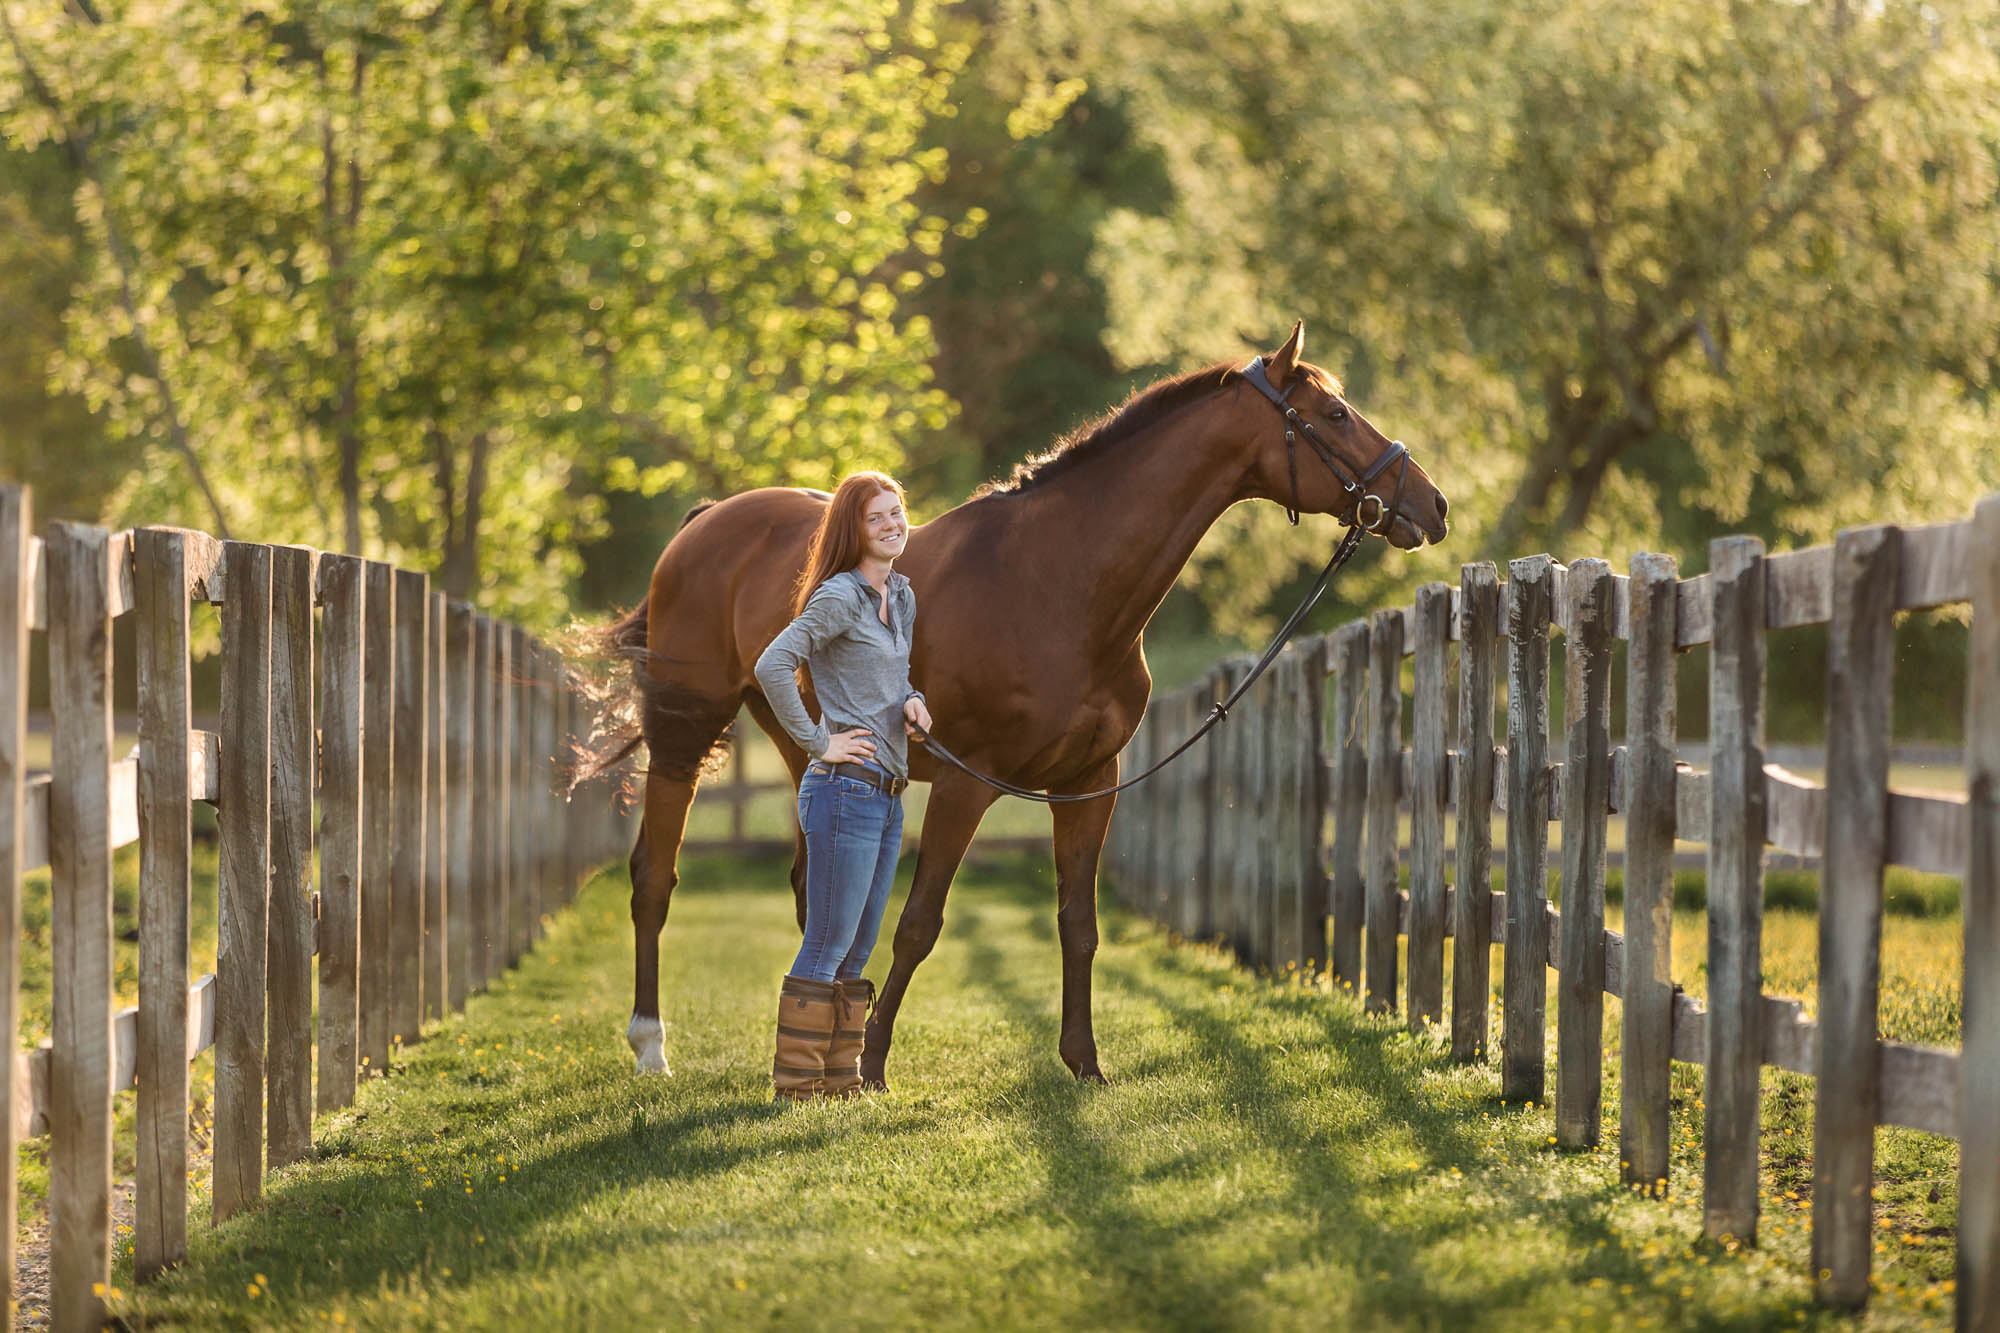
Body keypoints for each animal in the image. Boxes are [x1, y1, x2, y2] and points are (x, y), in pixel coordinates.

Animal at [595, 323, 1449, 1087]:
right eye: (1333, 413)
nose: (1433, 504)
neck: (1058, 583)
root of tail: (707, 520)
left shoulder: (1089, 785)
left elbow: (1078, 924)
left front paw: (1085, 1062)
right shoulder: (967, 780)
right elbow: (918, 922)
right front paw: (872, 1064)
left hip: (801, 740)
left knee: (816, 888)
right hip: (685, 734)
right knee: (654, 877)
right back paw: (651, 1046)